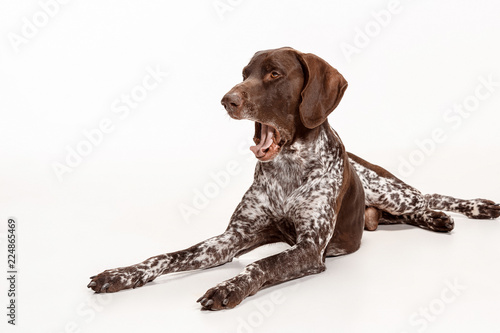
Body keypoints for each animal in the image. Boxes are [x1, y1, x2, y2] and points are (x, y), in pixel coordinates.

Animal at [88, 46, 498, 308]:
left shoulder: (309, 248)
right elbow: (167, 256)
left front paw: (229, 287)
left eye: (275, 73)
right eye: (244, 74)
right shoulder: (230, 239)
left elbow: (261, 264)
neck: (288, 169)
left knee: (430, 196)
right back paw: (437, 220)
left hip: (390, 190)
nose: (227, 100)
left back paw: (471, 208)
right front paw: (121, 274)